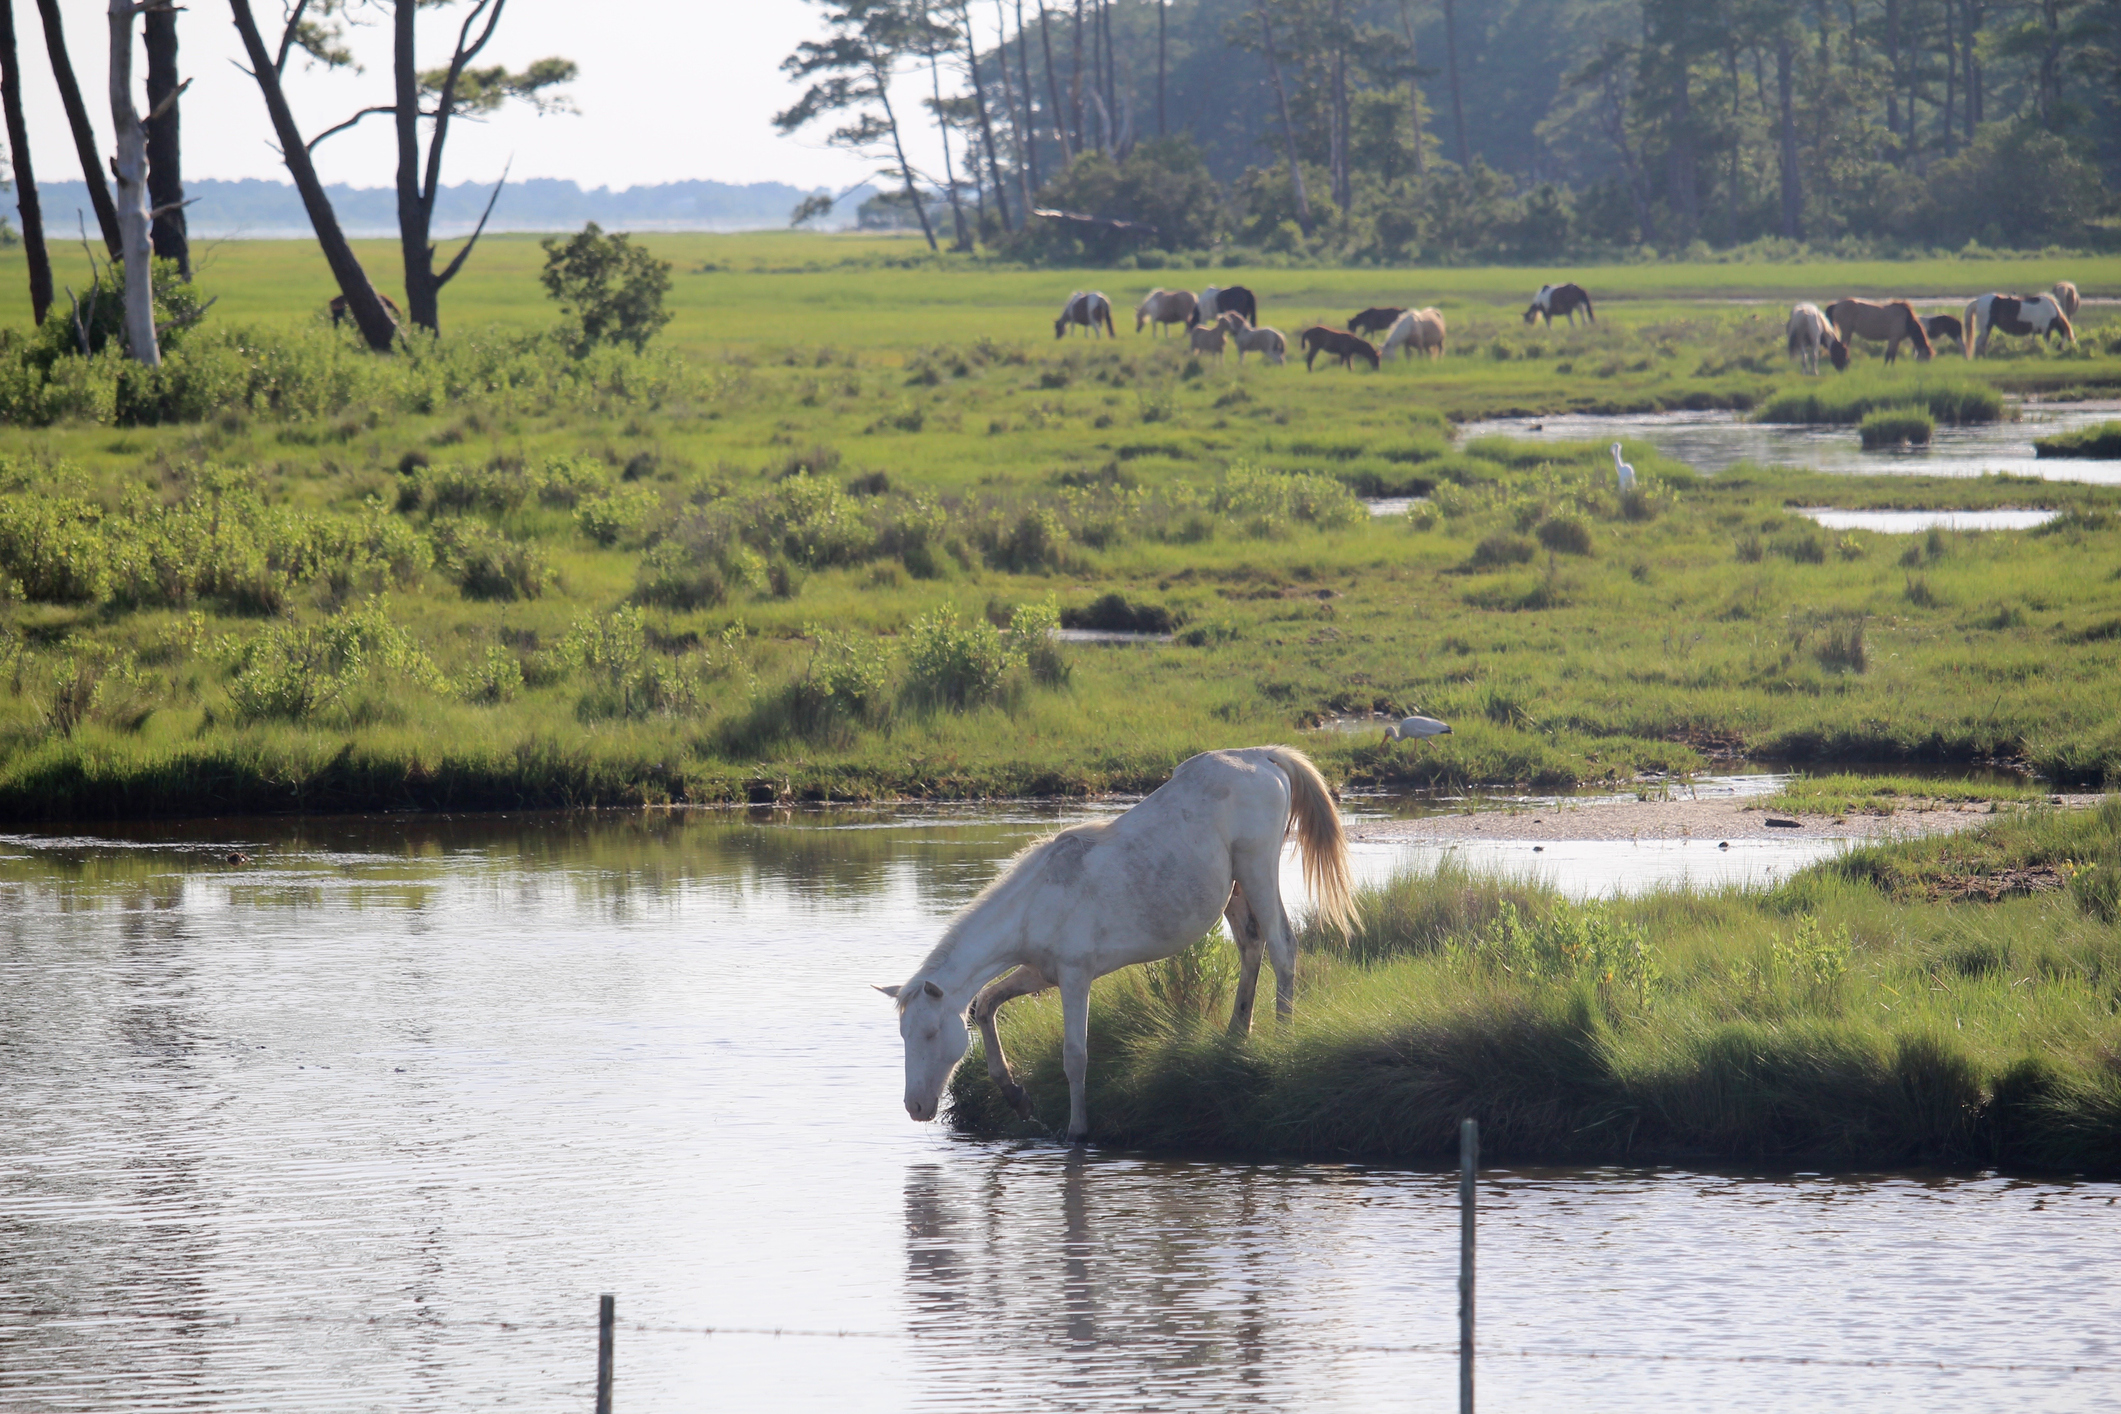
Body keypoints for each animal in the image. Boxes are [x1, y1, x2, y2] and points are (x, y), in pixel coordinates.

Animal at [882, 746, 1357, 1144]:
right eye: (903, 1034)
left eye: (929, 1033)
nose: (915, 1107)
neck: (1038, 897)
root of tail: (1260, 756)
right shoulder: (1040, 972)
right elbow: (985, 1005)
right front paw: (1016, 1097)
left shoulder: (1075, 978)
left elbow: (1075, 1056)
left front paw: (1077, 1131)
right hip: (1236, 890)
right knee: (1251, 946)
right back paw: (1236, 1036)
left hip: (1258, 870)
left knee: (1282, 947)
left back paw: (1282, 1038)